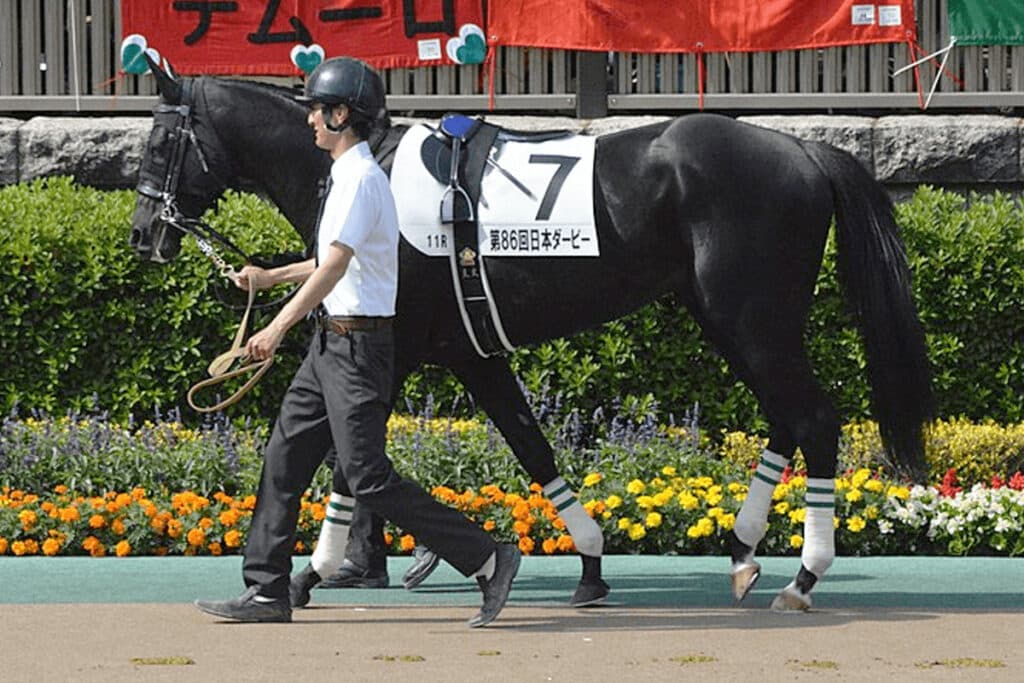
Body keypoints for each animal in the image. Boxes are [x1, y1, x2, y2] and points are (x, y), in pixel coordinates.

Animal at [129, 62, 933, 611]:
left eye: (162, 140)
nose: (142, 236)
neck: (366, 166)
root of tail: (806, 152)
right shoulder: (466, 352)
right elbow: (528, 445)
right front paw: (590, 565)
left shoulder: (398, 347)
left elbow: (348, 462)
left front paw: (306, 575)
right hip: (734, 318)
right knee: (786, 416)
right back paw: (740, 550)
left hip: (751, 315)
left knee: (815, 418)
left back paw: (803, 574)